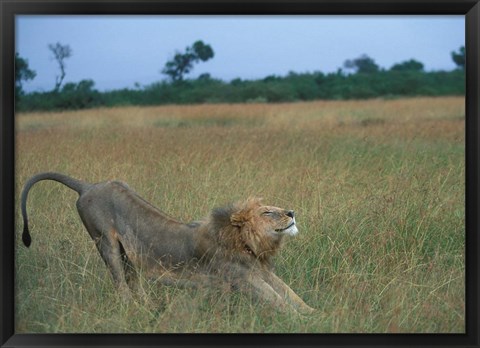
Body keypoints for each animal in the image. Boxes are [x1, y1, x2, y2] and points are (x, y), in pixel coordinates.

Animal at [21, 173, 316, 314]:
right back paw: (134, 310)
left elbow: (290, 294)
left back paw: (150, 308)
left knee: (132, 281)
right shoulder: (242, 278)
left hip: (128, 253)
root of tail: (88, 186)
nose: (292, 212)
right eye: (267, 212)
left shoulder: (261, 270)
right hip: (105, 242)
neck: (247, 244)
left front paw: (314, 311)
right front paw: (302, 320)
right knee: (120, 284)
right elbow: (276, 300)